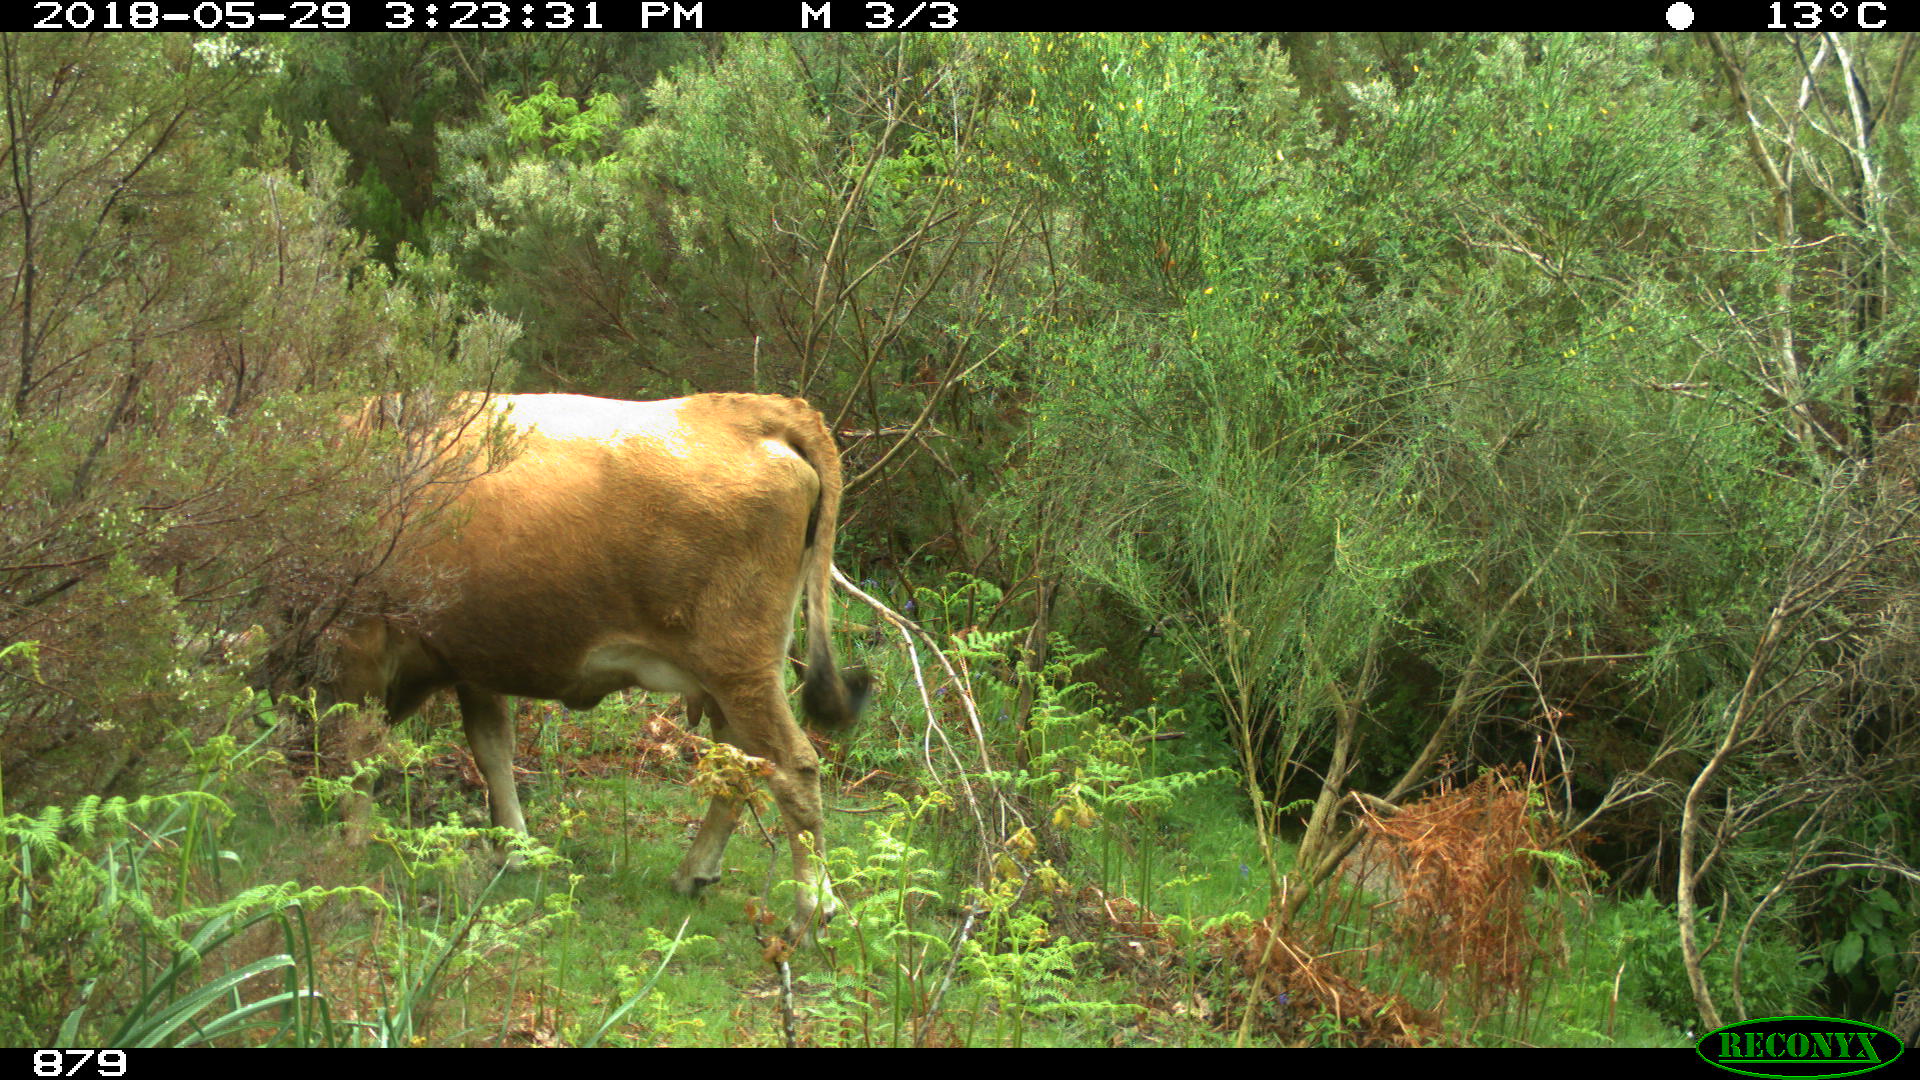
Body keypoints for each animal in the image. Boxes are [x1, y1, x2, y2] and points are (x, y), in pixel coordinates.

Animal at [316, 392, 870, 941]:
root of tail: (757, 409)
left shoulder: (358, 640)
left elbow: (356, 747)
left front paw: (349, 844)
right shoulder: (476, 660)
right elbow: (492, 748)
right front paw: (514, 849)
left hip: (741, 668)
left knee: (794, 766)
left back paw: (811, 907)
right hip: (727, 681)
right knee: (736, 768)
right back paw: (694, 873)